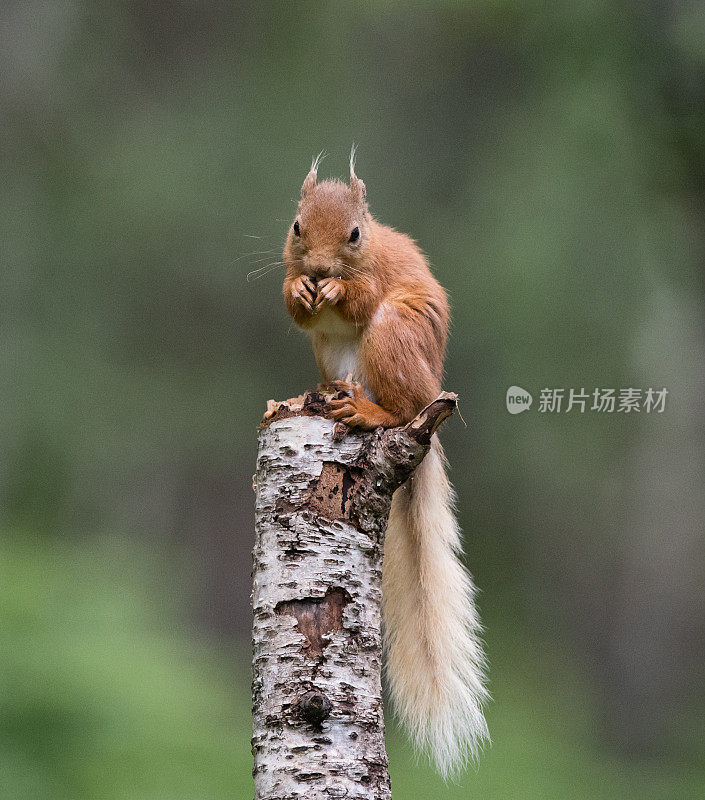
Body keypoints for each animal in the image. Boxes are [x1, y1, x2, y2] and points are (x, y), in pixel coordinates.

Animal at [284, 152, 486, 776]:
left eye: (355, 234)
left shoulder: (373, 279)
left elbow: (359, 295)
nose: (320, 268)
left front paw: (333, 289)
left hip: (395, 339)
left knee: (398, 407)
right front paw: (300, 288)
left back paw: (368, 410)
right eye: (296, 227)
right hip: (333, 357)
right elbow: (290, 304)